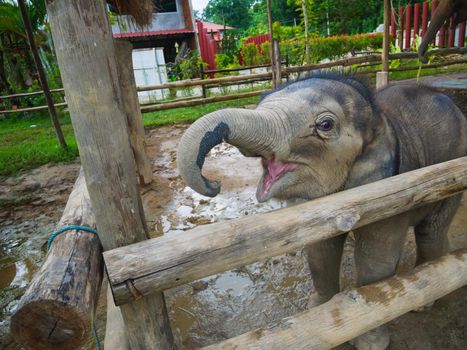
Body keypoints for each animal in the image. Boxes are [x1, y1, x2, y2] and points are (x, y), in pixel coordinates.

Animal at [176, 73, 467, 348]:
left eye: (325, 125)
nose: (214, 184)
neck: (380, 119)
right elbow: (320, 251)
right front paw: (318, 309)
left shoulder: (396, 187)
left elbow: (376, 257)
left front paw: (370, 343)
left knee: (431, 230)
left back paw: (427, 297)